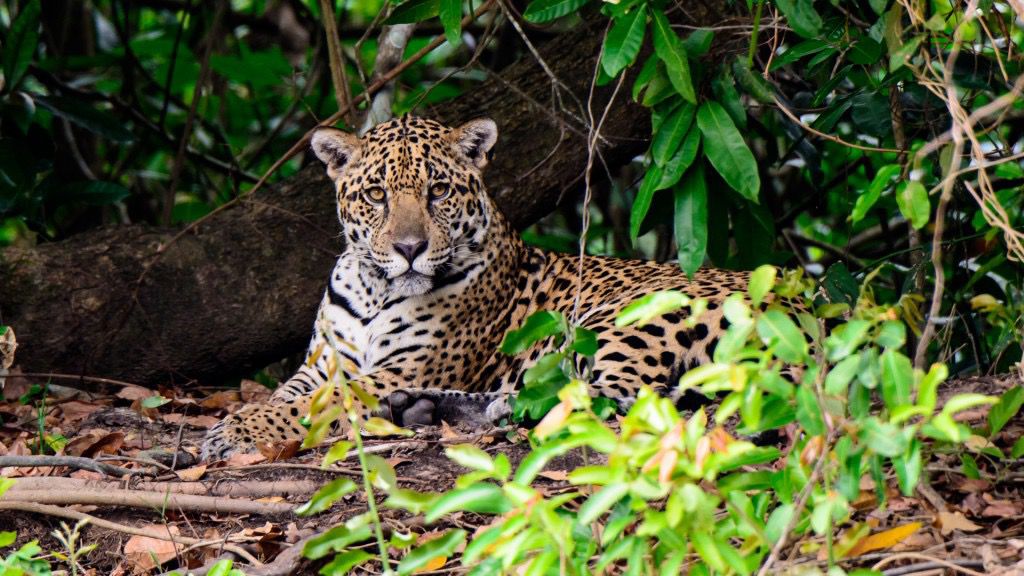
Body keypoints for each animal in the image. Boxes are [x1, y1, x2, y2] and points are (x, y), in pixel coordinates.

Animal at [201, 115, 751, 460]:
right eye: (376, 194)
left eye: (438, 191)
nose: (409, 248)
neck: (374, 290)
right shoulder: (322, 365)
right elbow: (288, 397)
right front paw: (244, 421)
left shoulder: (403, 365)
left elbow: (321, 402)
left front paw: (238, 431)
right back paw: (423, 406)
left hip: (629, 317)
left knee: (617, 396)